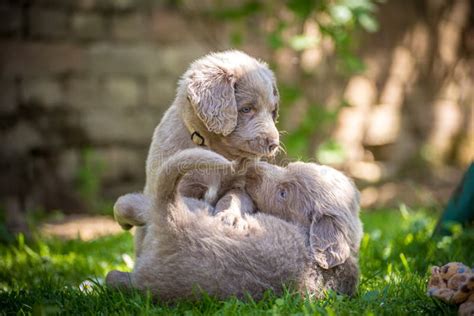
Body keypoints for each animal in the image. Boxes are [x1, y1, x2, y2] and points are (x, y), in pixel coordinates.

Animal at [105, 148, 362, 302]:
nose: (252, 169)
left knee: (135, 207)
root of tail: (172, 222)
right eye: (288, 168)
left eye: (283, 193)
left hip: (192, 210)